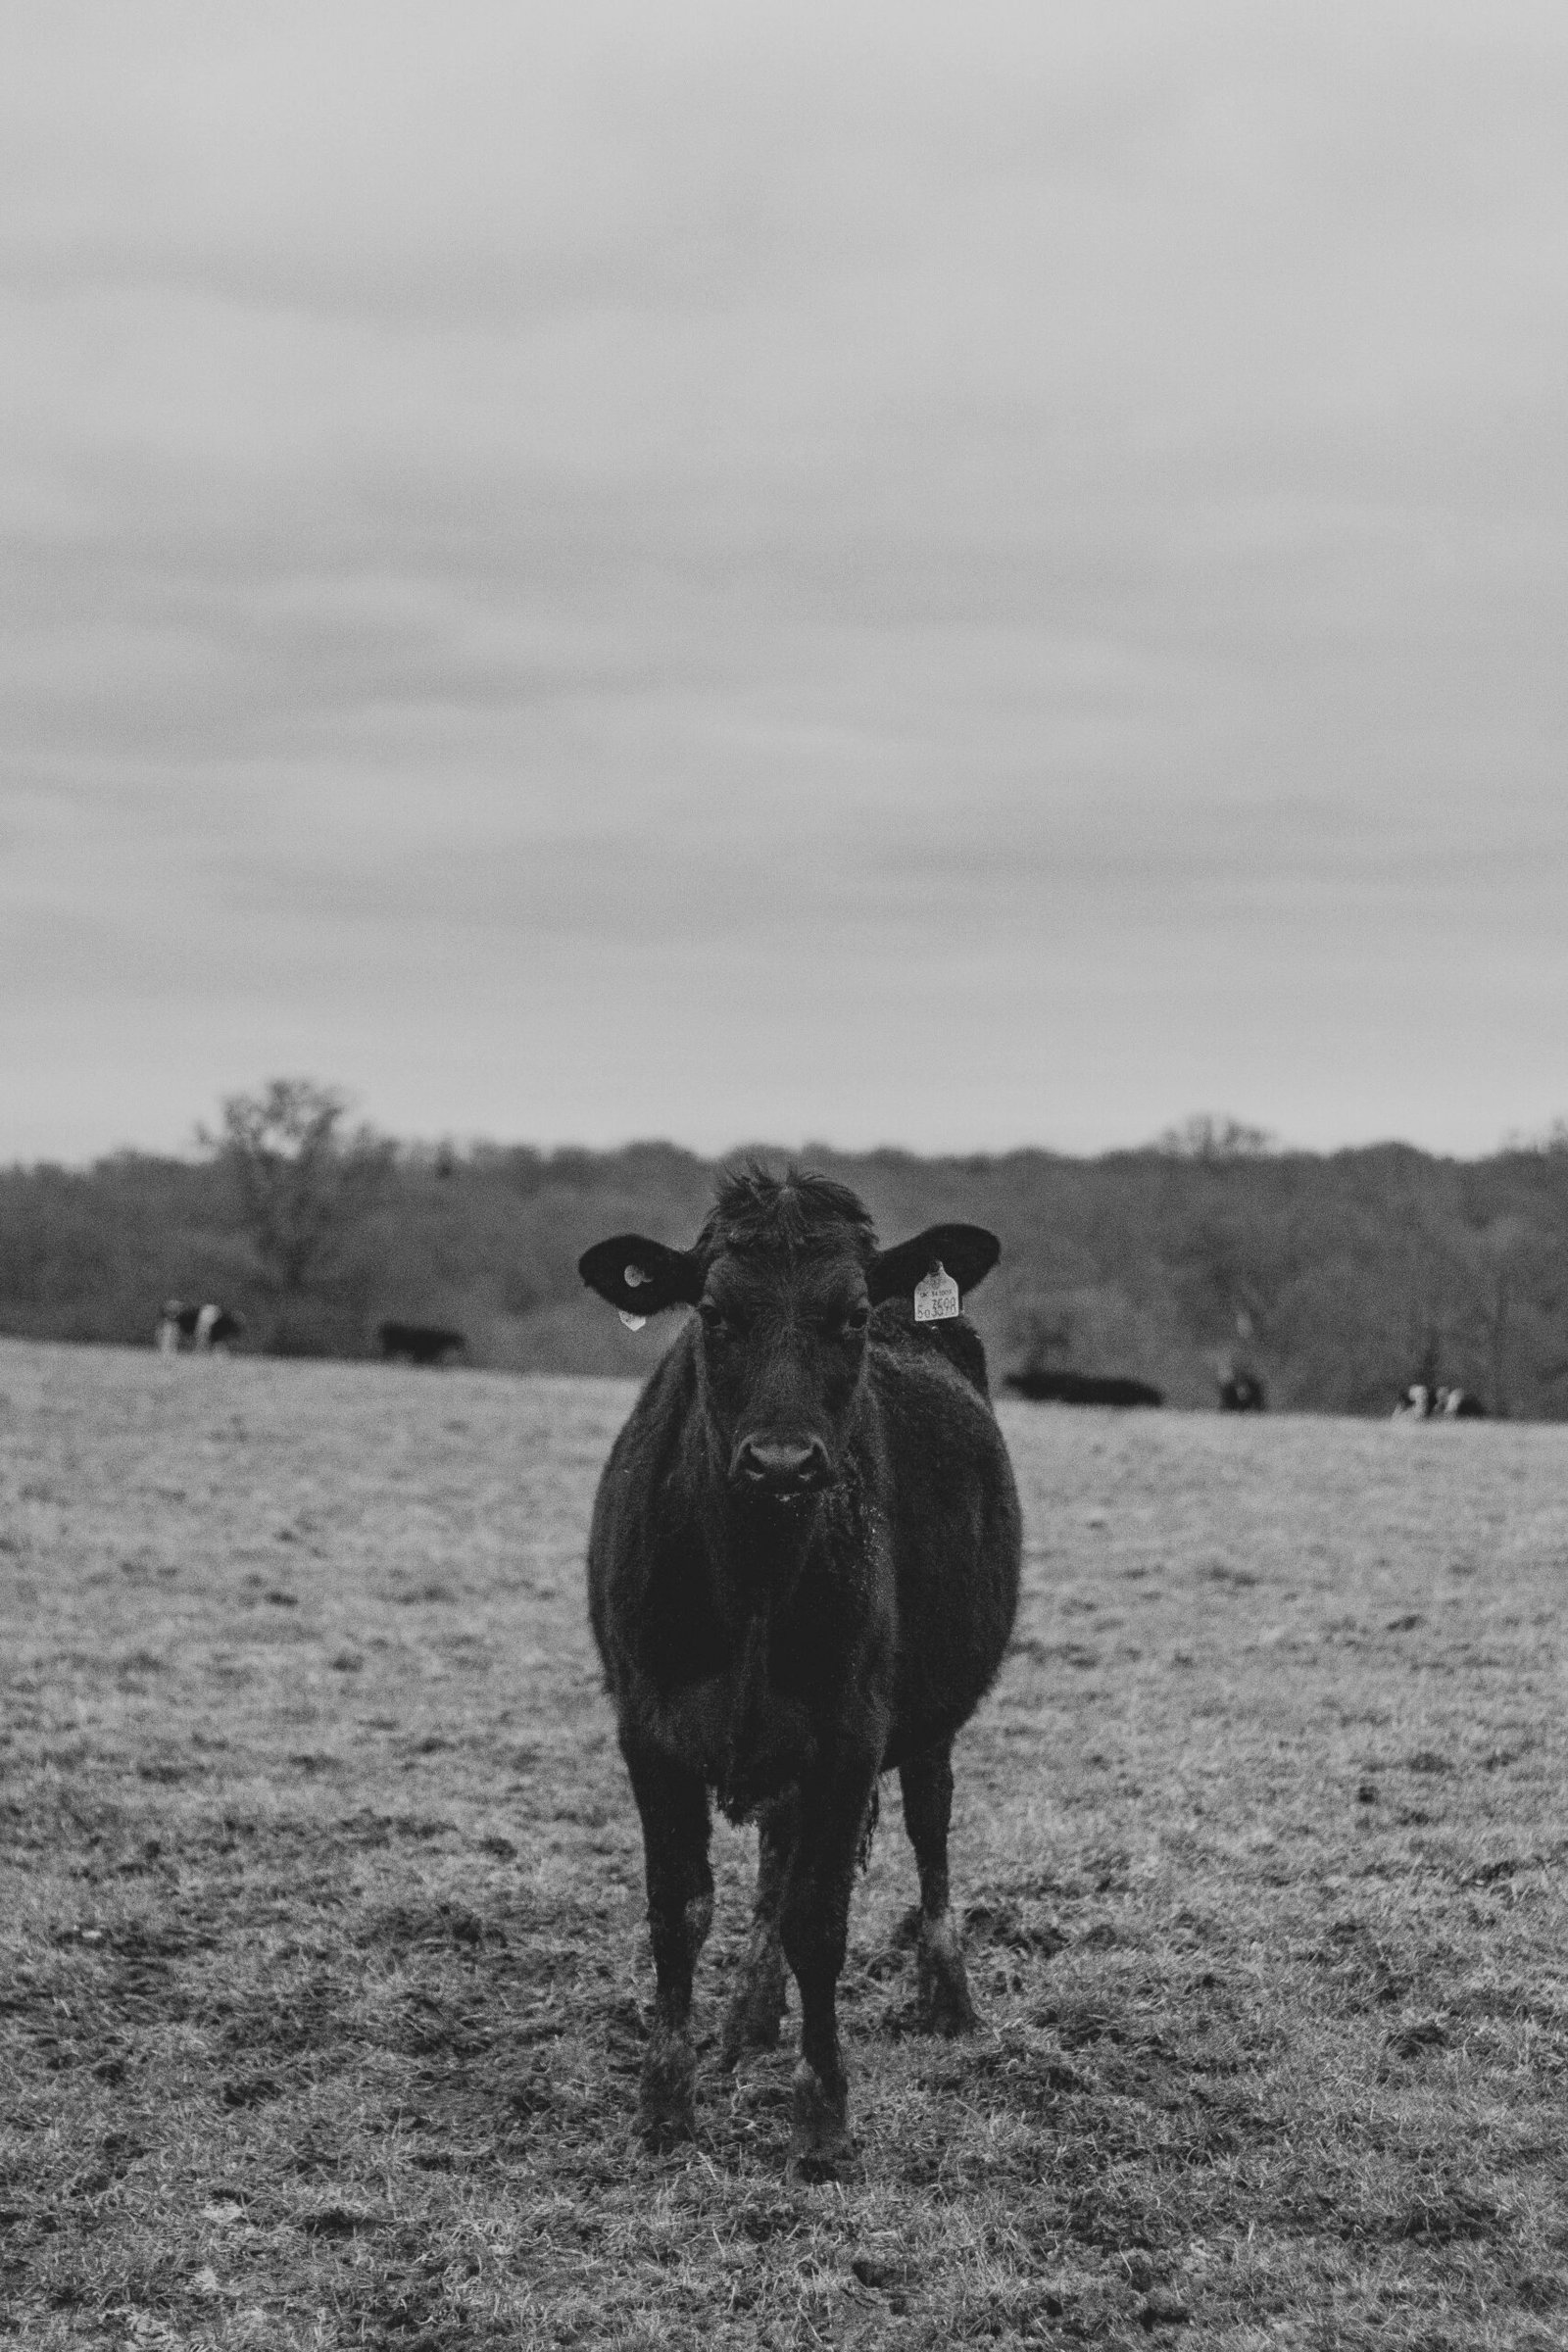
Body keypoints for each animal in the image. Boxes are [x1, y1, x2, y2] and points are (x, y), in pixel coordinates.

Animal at [579, 1168, 1022, 2178]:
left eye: (851, 1315)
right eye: (712, 1311)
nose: (782, 1461)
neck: (752, 1582)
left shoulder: (849, 1734)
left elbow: (821, 1921)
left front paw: (821, 2120)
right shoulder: (649, 1730)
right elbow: (679, 1908)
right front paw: (664, 2104)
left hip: (926, 1720)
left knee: (928, 1828)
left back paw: (948, 1996)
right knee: (777, 1856)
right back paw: (749, 2018)